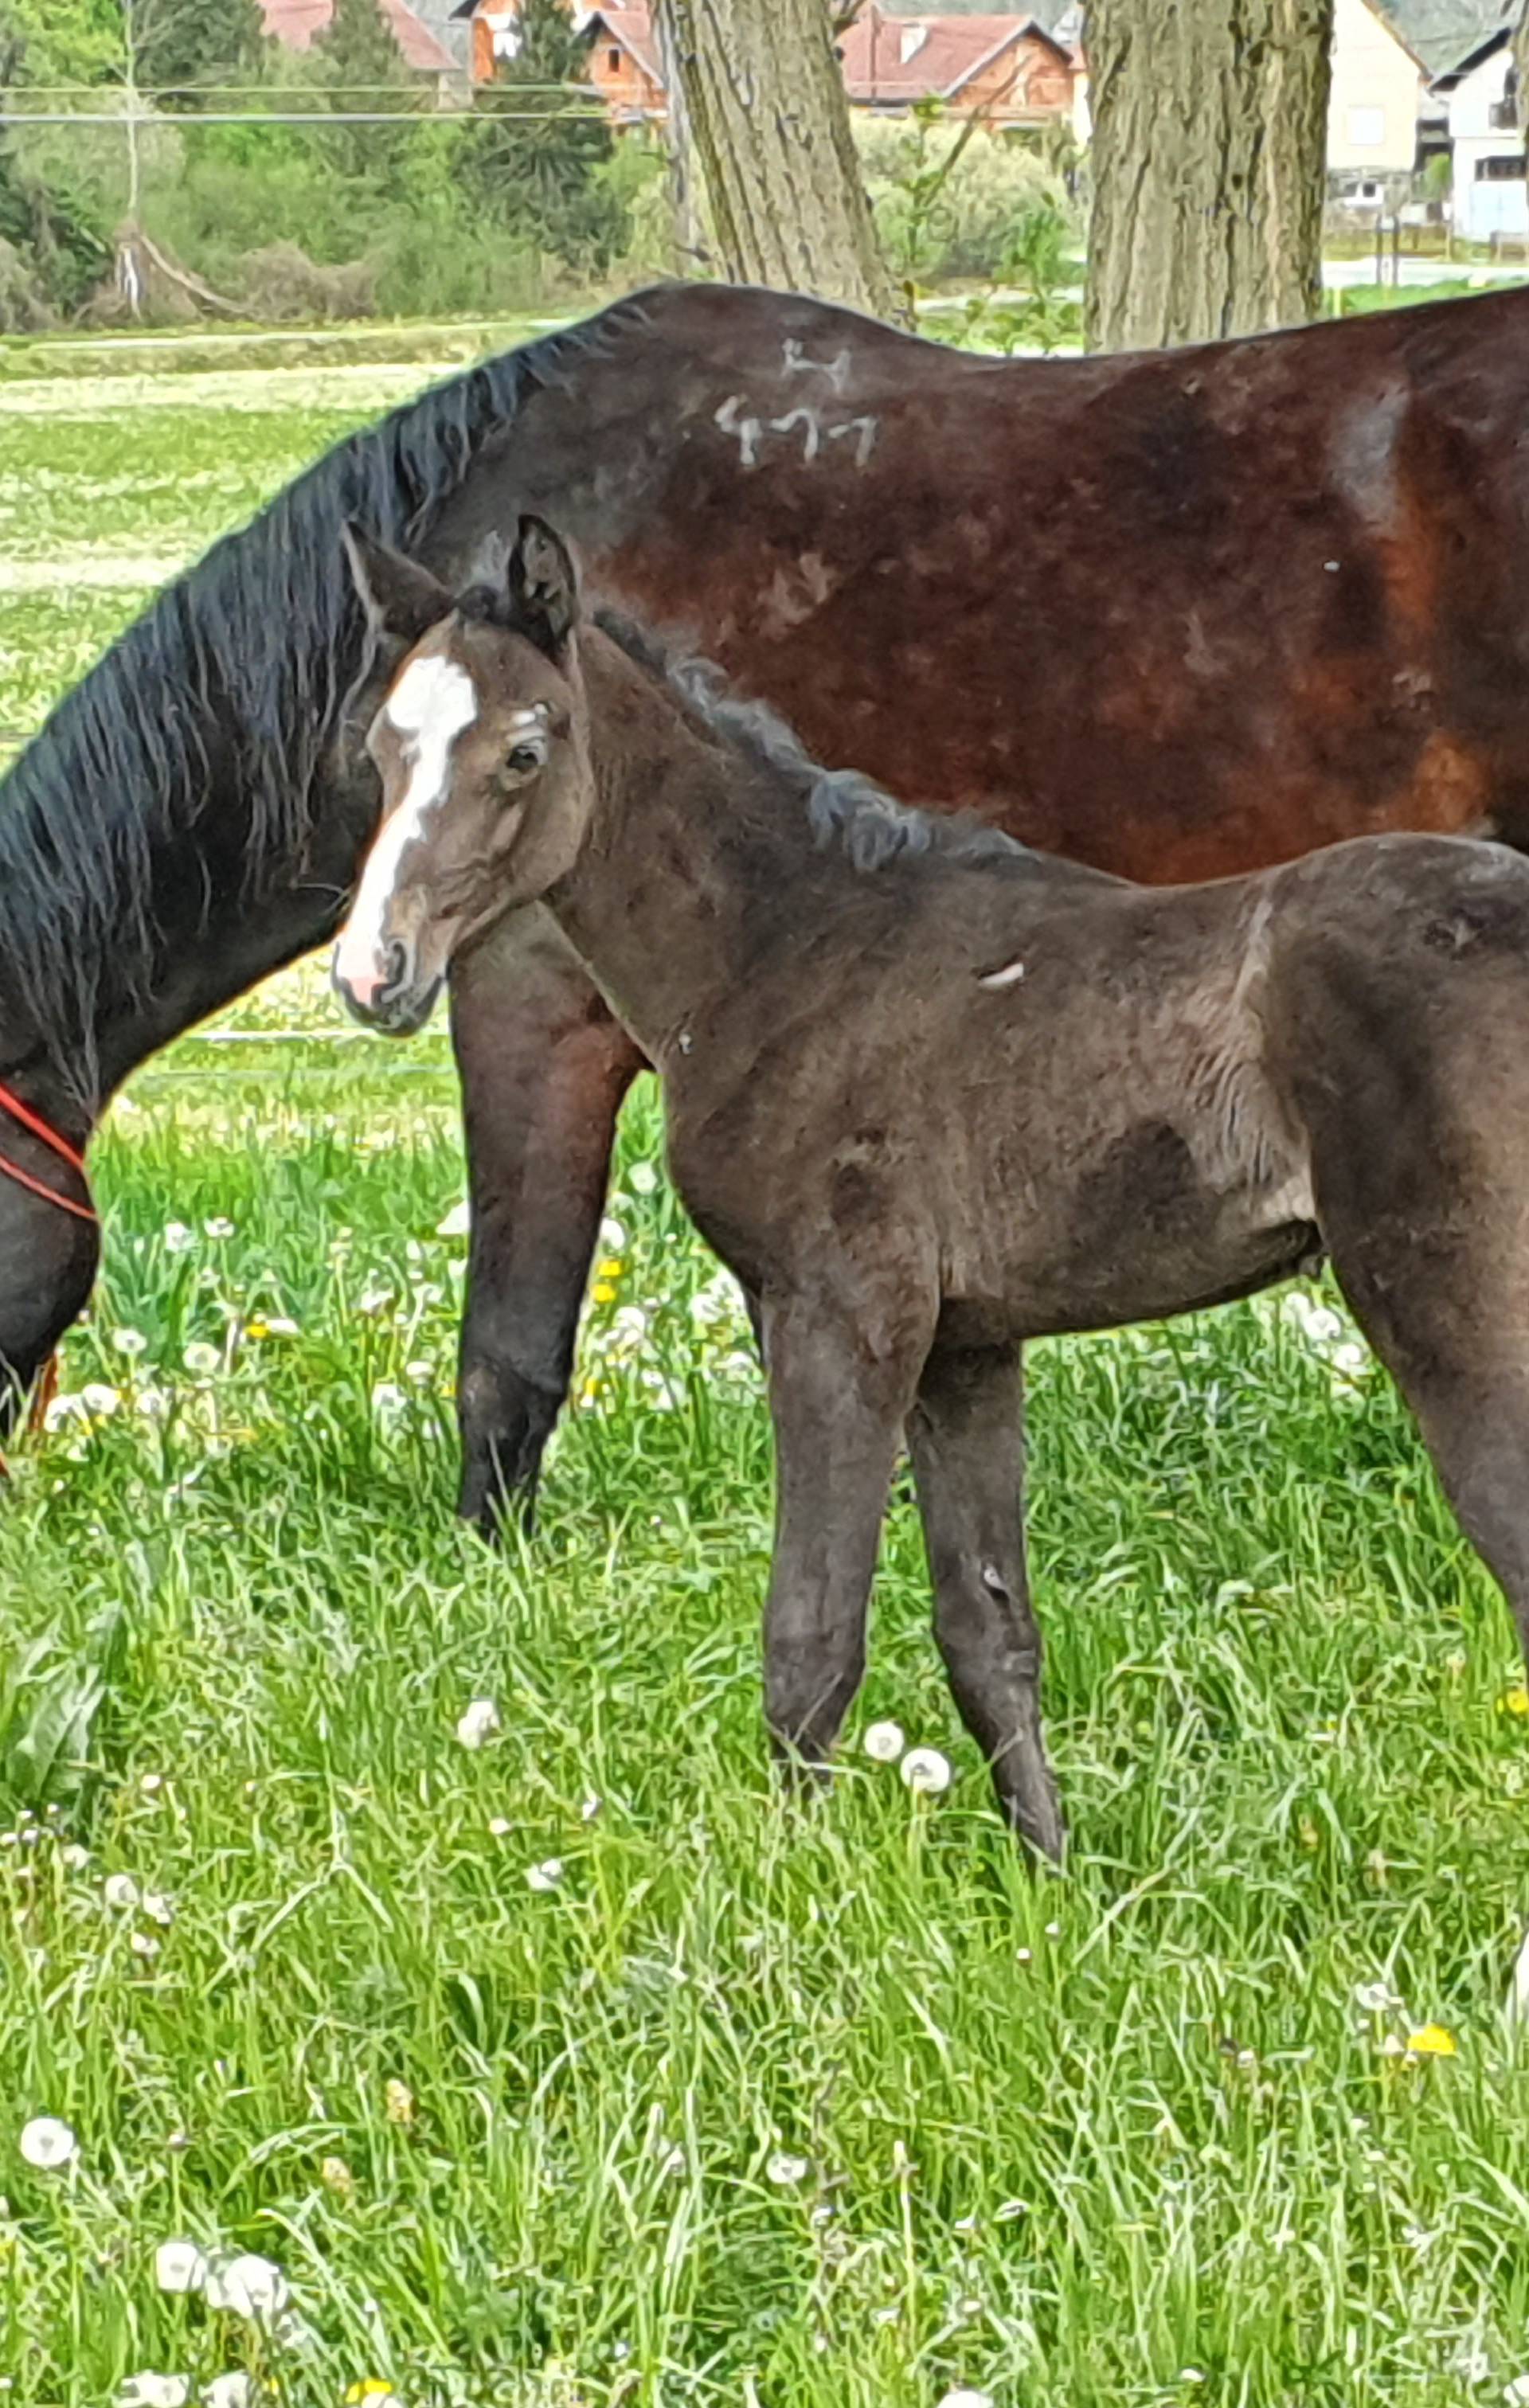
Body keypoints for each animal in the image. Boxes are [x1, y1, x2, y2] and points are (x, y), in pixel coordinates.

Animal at [334, 518, 1529, 1849]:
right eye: (381, 746)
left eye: (523, 750)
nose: (374, 972)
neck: (786, 952)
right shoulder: (965, 1346)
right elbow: (989, 1634)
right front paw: (1048, 1883)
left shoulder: (835, 1314)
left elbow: (810, 1640)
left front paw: (790, 1889)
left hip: (1452, 1308)